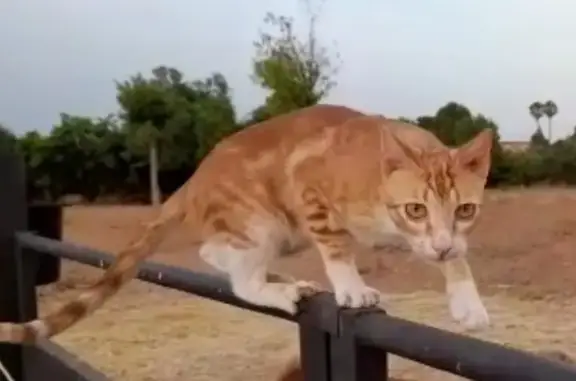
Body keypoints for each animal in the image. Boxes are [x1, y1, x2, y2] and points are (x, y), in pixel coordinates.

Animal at [1, 103, 496, 342]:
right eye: (415, 210)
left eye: (466, 211)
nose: (440, 245)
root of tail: (196, 175)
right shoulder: (309, 186)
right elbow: (337, 247)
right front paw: (352, 286)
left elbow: (459, 258)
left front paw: (467, 300)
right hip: (263, 221)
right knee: (228, 265)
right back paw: (276, 287)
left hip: (282, 234)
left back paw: (283, 280)